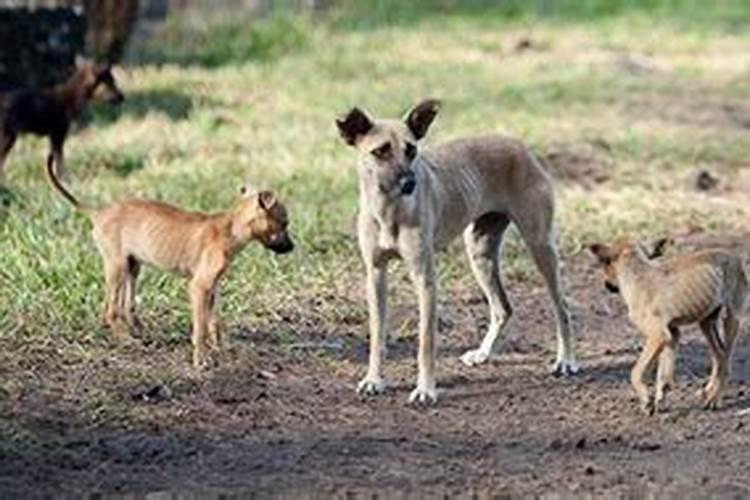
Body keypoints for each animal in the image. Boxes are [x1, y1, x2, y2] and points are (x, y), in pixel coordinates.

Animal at [45, 158, 296, 370]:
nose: (293, 248)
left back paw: (136, 331)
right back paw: (126, 339)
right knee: (109, 310)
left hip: (132, 265)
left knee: (126, 305)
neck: (231, 229)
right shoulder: (199, 287)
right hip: (116, 266)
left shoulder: (212, 288)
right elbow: (200, 329)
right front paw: (201, 359)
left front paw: (221, 349)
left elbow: (214, 323)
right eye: (284, 223)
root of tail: (99, 212)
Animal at [338, 99, 580, 404]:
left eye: (411, 150)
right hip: (480, 254)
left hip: (540, 248)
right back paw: (483, 353)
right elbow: (377, 335)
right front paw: (373, 380)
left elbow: (426, 342)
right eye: (380, 151)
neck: (389, 210)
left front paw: (426, 389)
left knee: (563, 309)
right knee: (502, 308)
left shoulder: (425, 279)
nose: (409, 183)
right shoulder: (376, 275)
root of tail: (519, 146)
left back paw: (566, 361)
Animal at [592, 238, 748, 414]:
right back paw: (709, 390)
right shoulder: (672, 334)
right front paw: (660, 398)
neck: (637, 273)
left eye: (605, 263)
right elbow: (663, 374)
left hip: (731, 319)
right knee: (719, 356)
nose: (606, 285)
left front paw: (646, 400)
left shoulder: (658, 335)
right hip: (706, 323)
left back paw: (714, 398)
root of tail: (735, 257)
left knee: (725, 359)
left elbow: (635, 372)